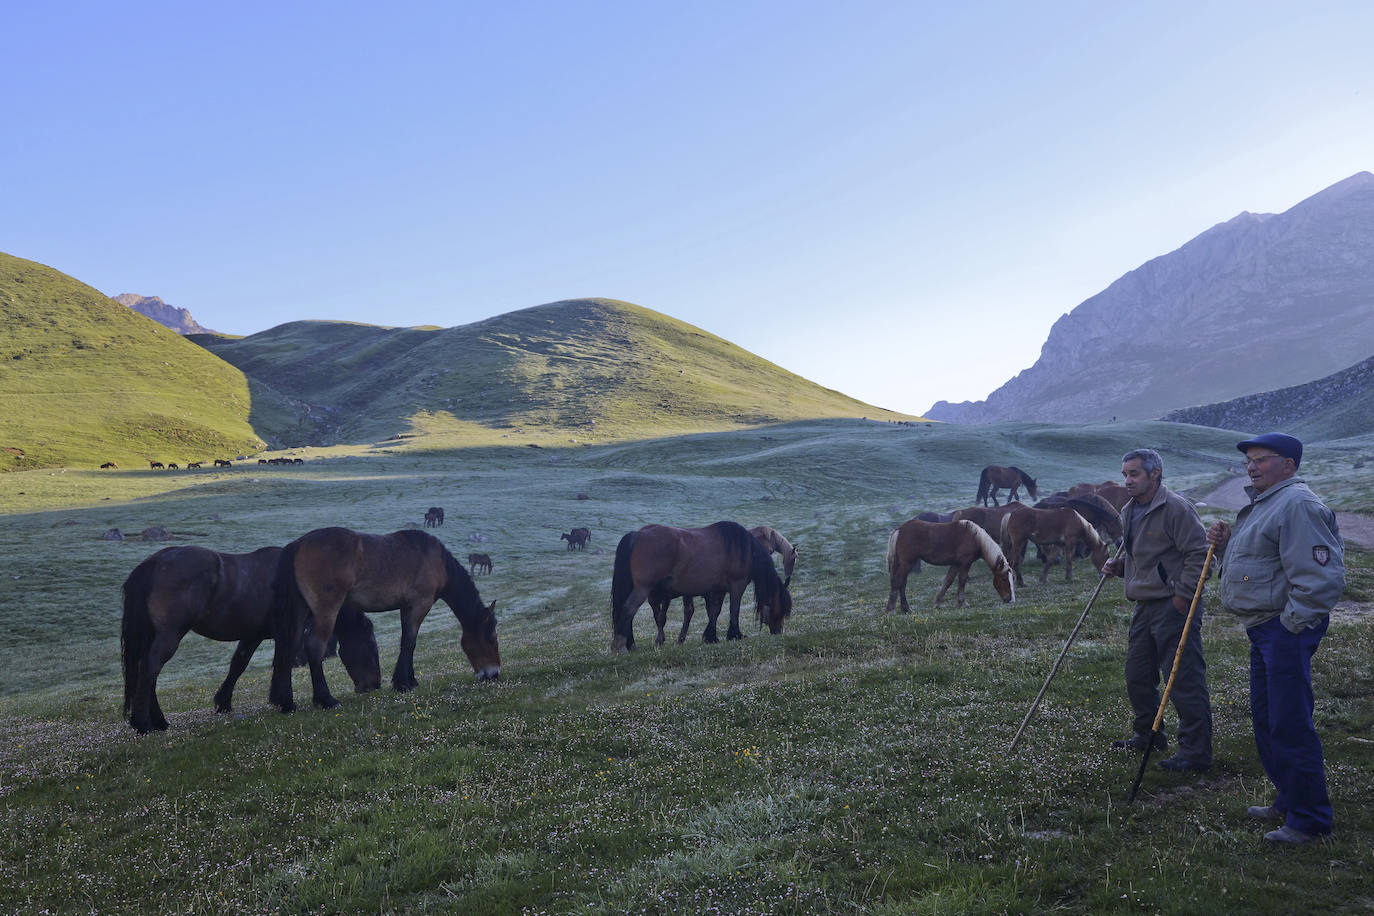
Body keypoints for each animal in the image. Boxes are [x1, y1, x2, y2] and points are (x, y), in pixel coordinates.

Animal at [121, 549, 381, 736]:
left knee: (148, 672)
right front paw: (287, 701)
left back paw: (158, 721)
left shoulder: (254, 635)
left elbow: (240, 664)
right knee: (149, 669)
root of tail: (155, 562)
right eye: (370, 647)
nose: (375, 684)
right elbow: (283, 661)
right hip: (169, 635)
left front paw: (225, 702)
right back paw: (143, 723)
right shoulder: (290, 631)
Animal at [267, 527, 500, 714]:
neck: (436, 561)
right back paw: (326, 699)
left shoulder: (407, 608)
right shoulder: (418, 605)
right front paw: (403, 683)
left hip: (299, 612)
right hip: (325, 612)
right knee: (314, 647)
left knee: (288, 648)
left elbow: (408, 643)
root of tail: (299, 544)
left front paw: (409, 680)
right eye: (491, 638)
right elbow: (409, 643)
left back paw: (287, 703)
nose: (494, 674)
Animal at [612, 521, 796, 650]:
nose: (779, 632)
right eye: (782, 609)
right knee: (628, 610)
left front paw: (711, 637)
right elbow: (733, 609)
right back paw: (621, 647)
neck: (745, 548)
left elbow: (714, 611)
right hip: (643, 589)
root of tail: (638, 534)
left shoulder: (717, 590)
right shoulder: (737, 585)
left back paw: (630, 645)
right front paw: (734, 635)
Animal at [884, 519, 1016, 612]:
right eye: (1004, 579)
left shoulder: (956, 564)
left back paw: (905, 609)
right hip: (907, 563)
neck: (975, 538)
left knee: (902, 583)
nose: (1010, 600)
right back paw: (891, 609)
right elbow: (962, 581)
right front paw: (963, 603)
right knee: (898, 582)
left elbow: (948, 581)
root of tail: (900, 530)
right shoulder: (965, 563)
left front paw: (937, 602)